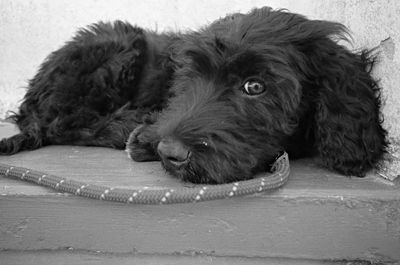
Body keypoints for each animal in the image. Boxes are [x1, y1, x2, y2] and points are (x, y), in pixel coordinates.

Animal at [0, 6, 388, 184]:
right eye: (192, 76)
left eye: (255, 86)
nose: (169, 152)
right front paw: (144, 136)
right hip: (121, 42)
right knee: (64, 122)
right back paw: (128, 123)